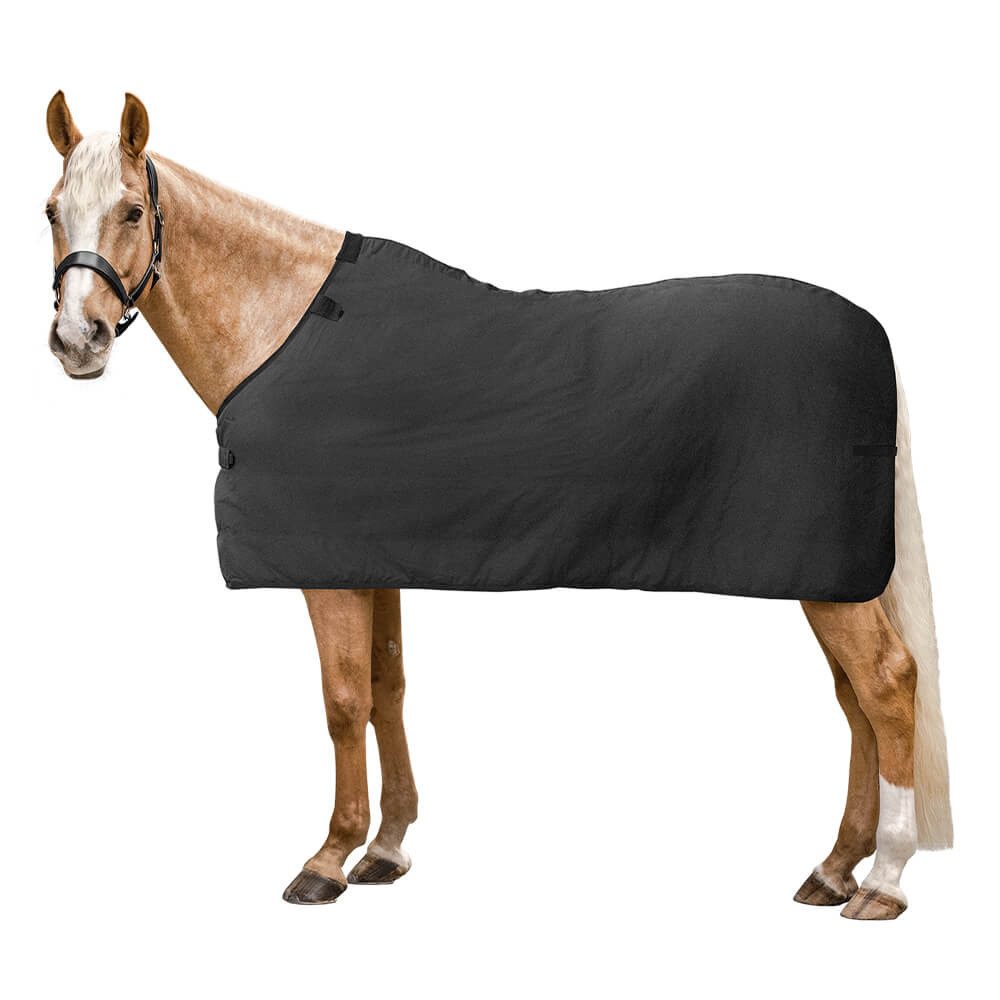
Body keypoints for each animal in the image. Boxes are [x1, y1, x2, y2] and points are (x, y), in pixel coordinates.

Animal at [42, 91, 952, 919]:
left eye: (131, 211)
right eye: (51, 211)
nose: (76, 341)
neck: (285, 325)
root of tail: (871, 335)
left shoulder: (324, 571)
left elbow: (342, 702)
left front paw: (329, 857)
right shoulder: (367, 556)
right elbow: (388, 686)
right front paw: (388, 847)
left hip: (829, 578)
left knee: (886, 684)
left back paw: (883, 880)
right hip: (826, 577)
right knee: (855, 700)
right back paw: (834, 868)